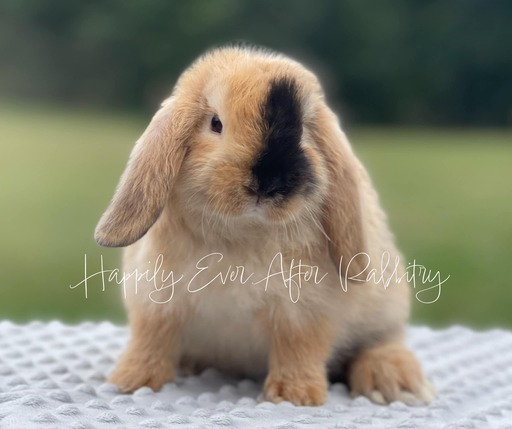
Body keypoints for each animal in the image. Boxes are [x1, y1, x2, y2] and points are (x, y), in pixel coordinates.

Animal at [94, 46, 434, 404]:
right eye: (215, 123)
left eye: (302, 130)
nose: (269, 182)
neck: (244, 231)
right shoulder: (156, 302)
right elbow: (151, 342)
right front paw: (132, 382)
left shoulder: (304, 313)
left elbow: (299, 351)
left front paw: (293, 396)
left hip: (384, 314)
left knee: (382, 344)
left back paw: (395, 383)